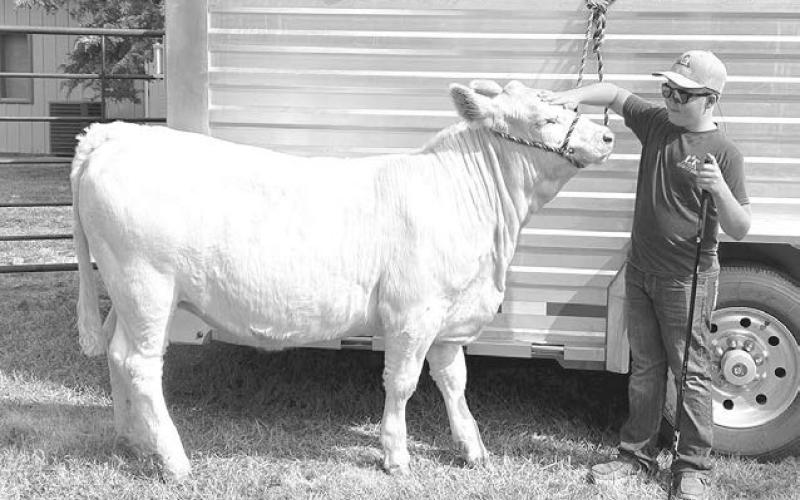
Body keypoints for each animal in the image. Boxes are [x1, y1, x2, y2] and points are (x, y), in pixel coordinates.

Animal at [71, 80, 614, 479]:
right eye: (547, 119)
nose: (608, 137)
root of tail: (114, 135)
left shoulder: (448, 317)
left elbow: (454, 381)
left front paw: (473, 448)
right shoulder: (413, 313)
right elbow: (402, 383)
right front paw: (396, 456)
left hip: (130, 292)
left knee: (118, 356)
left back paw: (132, 442)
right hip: (147, 285)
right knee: (141, 365)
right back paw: (175, 461)